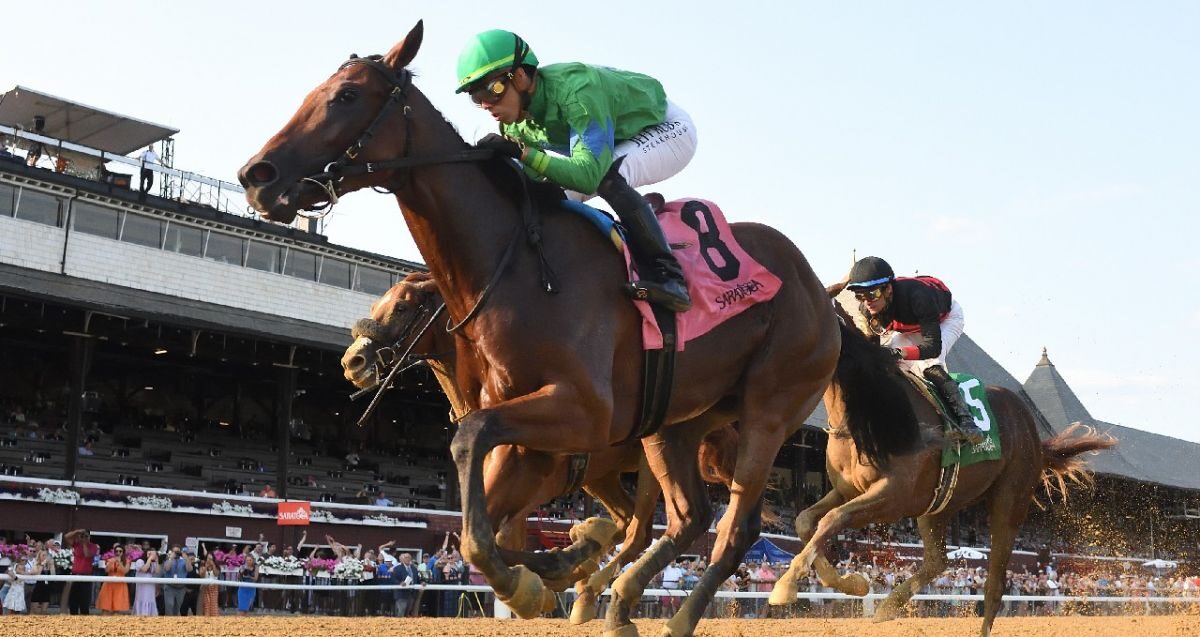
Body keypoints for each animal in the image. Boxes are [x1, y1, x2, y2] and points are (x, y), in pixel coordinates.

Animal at [340, 272, 739, 623]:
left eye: (402, 307)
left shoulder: (523, 490)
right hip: (602, 477)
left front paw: (552, 572)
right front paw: (557, 569)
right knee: (627, 520)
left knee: (641, 529)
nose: (352, 361)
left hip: (651, 462)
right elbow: (489, 544)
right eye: (378, 304)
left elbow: (492, 543)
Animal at [768, 299, 1113, 637]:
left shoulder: (893, 496)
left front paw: (786, 585)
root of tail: (1034, 432)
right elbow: (806, 521)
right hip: (940, 502)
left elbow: (832, 519)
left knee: (995, 582)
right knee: (938, 561)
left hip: (1010, 498)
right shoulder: (847, 489)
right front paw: (850, 583)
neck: (871, 411)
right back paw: (889, 605)